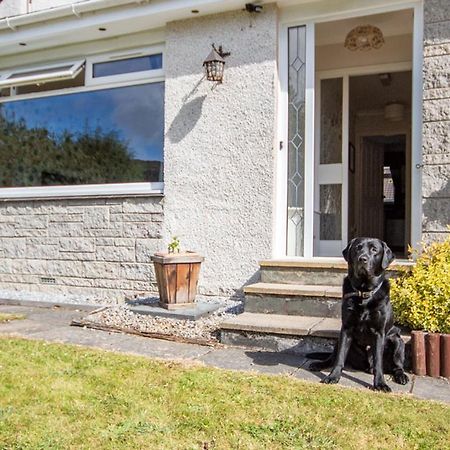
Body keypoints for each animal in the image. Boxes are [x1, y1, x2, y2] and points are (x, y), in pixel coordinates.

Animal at [312, 237, 410, 392]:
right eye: (357, 248)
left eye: (374, 250)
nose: (362, 259)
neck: (364, 293)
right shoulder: (346, 328)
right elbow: (340, 358)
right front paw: (333, 377)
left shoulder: (379, 332)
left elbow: (378, 363)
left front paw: (380, 384)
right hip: (339, 338)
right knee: (333, 357)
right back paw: (320, 364)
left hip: (398, 341)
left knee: (397, 366)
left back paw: (401, 376)